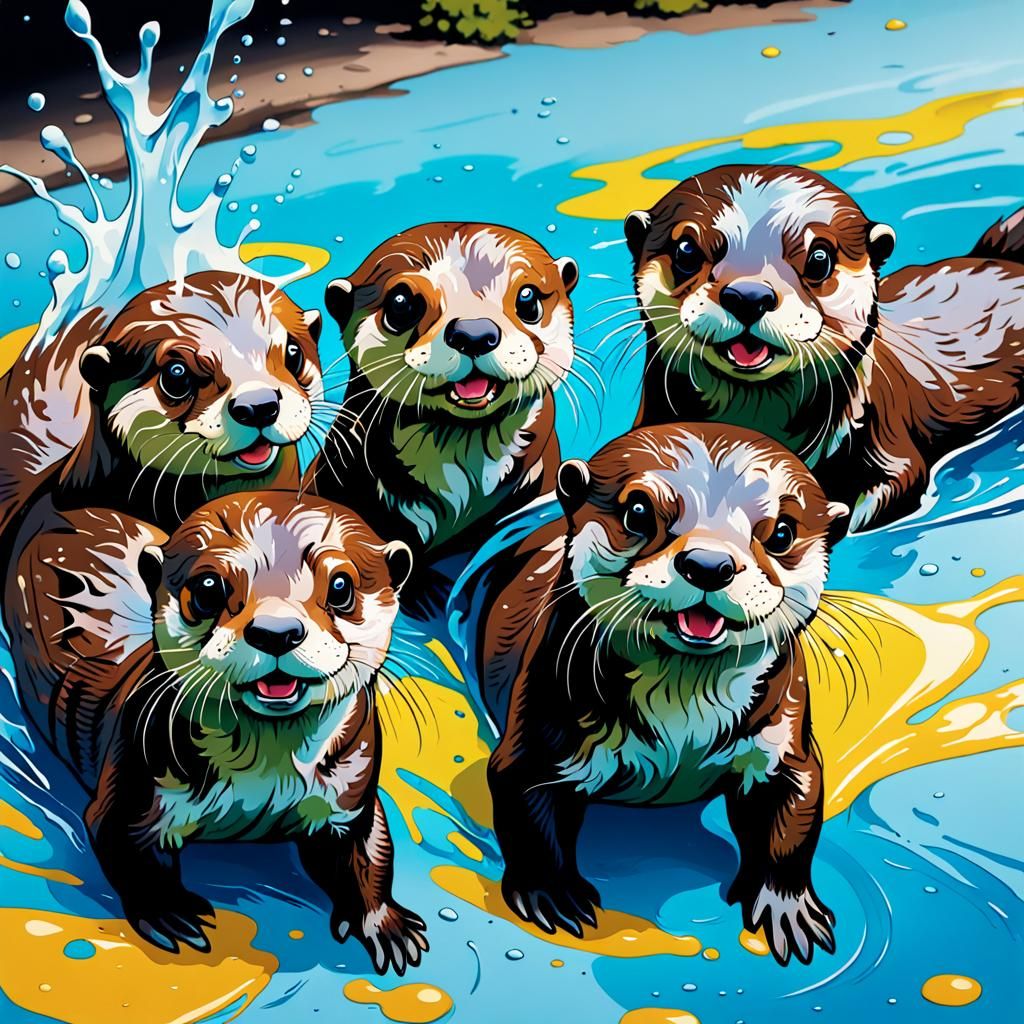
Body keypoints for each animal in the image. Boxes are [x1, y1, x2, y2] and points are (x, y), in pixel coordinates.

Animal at [5, 492, 426, 975]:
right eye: (208, 589)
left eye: (341, 587)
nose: (276, 632)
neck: (264, 781)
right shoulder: (135, 778)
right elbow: (122, 845)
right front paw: (171, 911)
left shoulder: (352, 790)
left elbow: (370, 853)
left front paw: (385, 924)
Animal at [471, 424, 847, 965]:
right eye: (638, 511)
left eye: (781, 532)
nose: (709, 563)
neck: (682, 727)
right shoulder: (539, 725)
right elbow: (528, 813)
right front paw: (553, 894)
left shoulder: (784, 734)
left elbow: (791, 824)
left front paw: (786, 907)